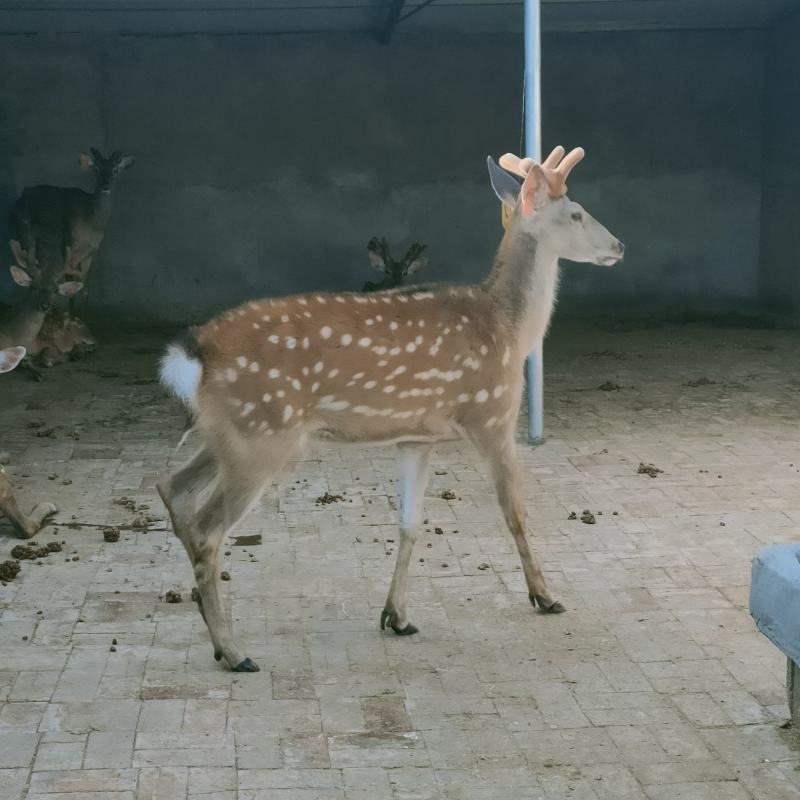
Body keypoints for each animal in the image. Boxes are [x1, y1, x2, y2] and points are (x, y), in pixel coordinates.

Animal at [157, 145, 624, 673]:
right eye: (577, 213)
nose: (619, 245)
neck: (509, 329)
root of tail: (194, 353)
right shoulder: (493, 417)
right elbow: (515, 514)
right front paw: (546, 596)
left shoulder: (415, 438)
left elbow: (409, 523)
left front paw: (396, 617)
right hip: (261, 434)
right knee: (208, 528)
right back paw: (234, 652)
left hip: (230, 434)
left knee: (171, 485)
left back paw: (208, 620)